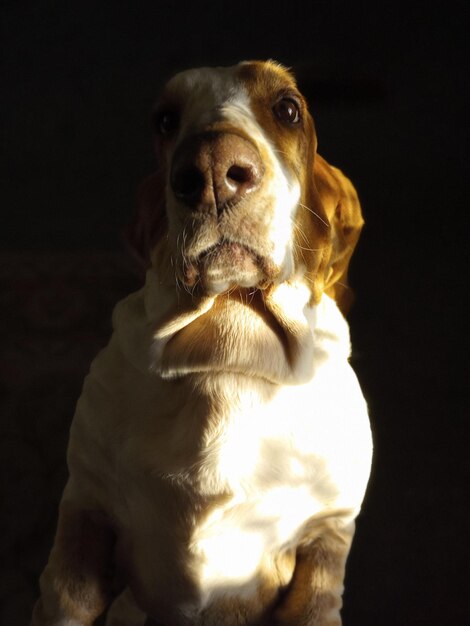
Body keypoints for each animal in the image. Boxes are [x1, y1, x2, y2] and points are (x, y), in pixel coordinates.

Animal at [31, 59, 372, 624]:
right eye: (165, 120)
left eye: (288, 109)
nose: (211, 171)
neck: (228, 347)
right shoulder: (85, 517)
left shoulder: (325, 539)